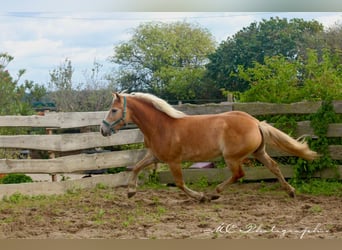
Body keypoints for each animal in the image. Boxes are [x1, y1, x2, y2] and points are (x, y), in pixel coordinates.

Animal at [100, 93, 320, 202]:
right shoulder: (155, 156)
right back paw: (290, 191)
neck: (161, 126)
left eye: (114, 110)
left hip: (232, 157)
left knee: (239, 174)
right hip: (259, 152)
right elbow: (136, 167)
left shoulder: (173, 161)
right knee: (273, 167)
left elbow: (179, 183)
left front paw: (200, 196)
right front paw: (131, 192)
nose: (102, 129)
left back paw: (214, 193)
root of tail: (256, 122)